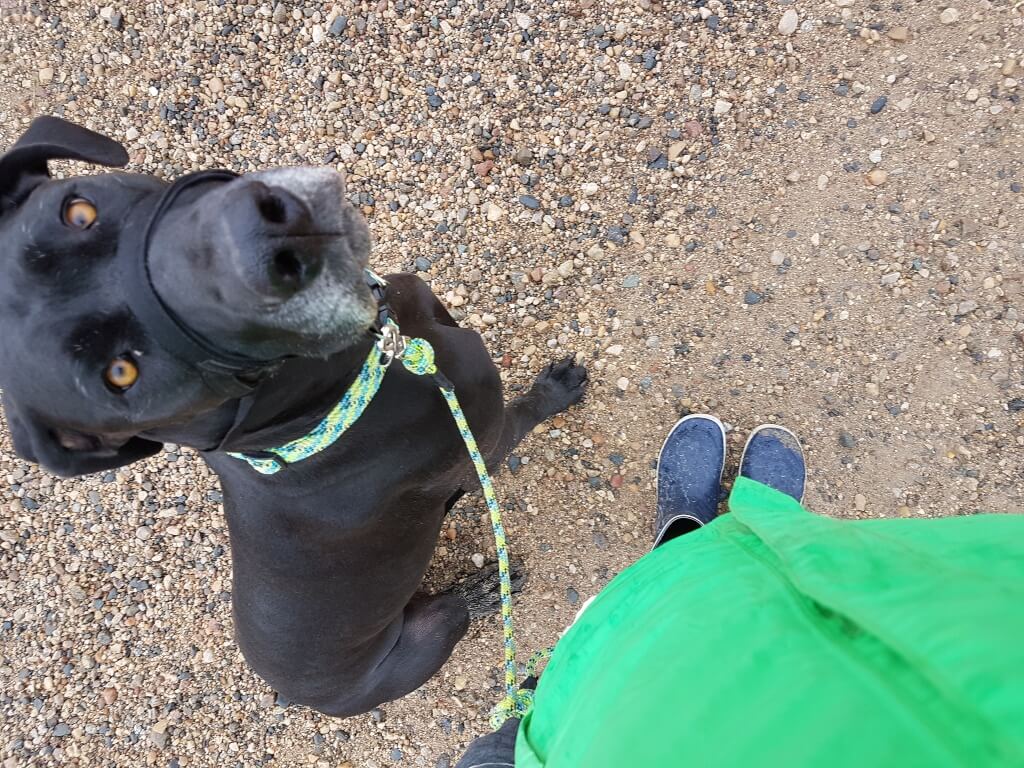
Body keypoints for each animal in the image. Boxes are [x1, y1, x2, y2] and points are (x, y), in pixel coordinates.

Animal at [0, 117, 585, 720]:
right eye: (120, 374)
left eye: (78, 211)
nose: (246, 246)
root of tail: (304, 698)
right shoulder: (482, 445)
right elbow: (523, 414)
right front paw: (556, 391)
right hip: (432, 631)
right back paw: (489, 587)